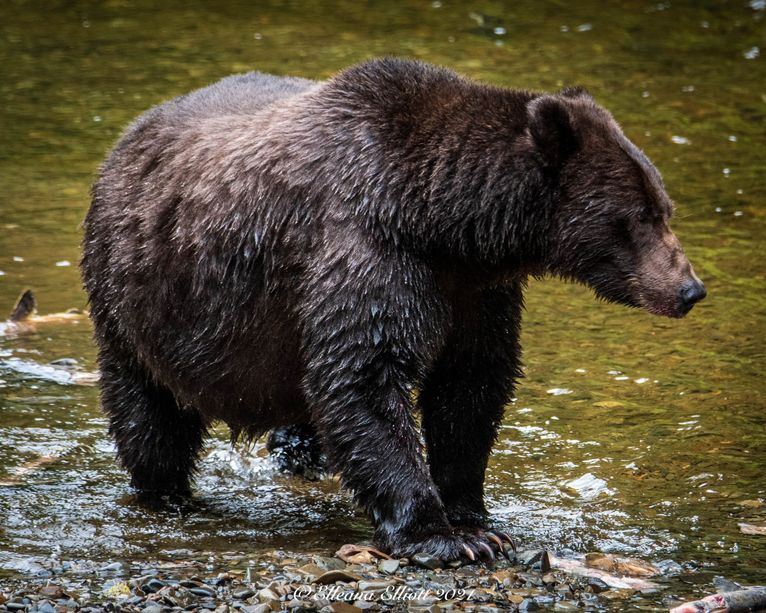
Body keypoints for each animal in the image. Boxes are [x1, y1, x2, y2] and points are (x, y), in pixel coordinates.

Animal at [81, 58, 706, 562]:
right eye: (642, 213)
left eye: (663, 205)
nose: (690, 289)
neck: (443, 222)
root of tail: (127, 136)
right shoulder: (370, 251)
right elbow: (366, 377)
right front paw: (445, 538)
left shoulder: (476, 294)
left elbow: (470, 386)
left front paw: (475, 515)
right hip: (138, 300)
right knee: (149, 416)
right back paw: (168, 496)